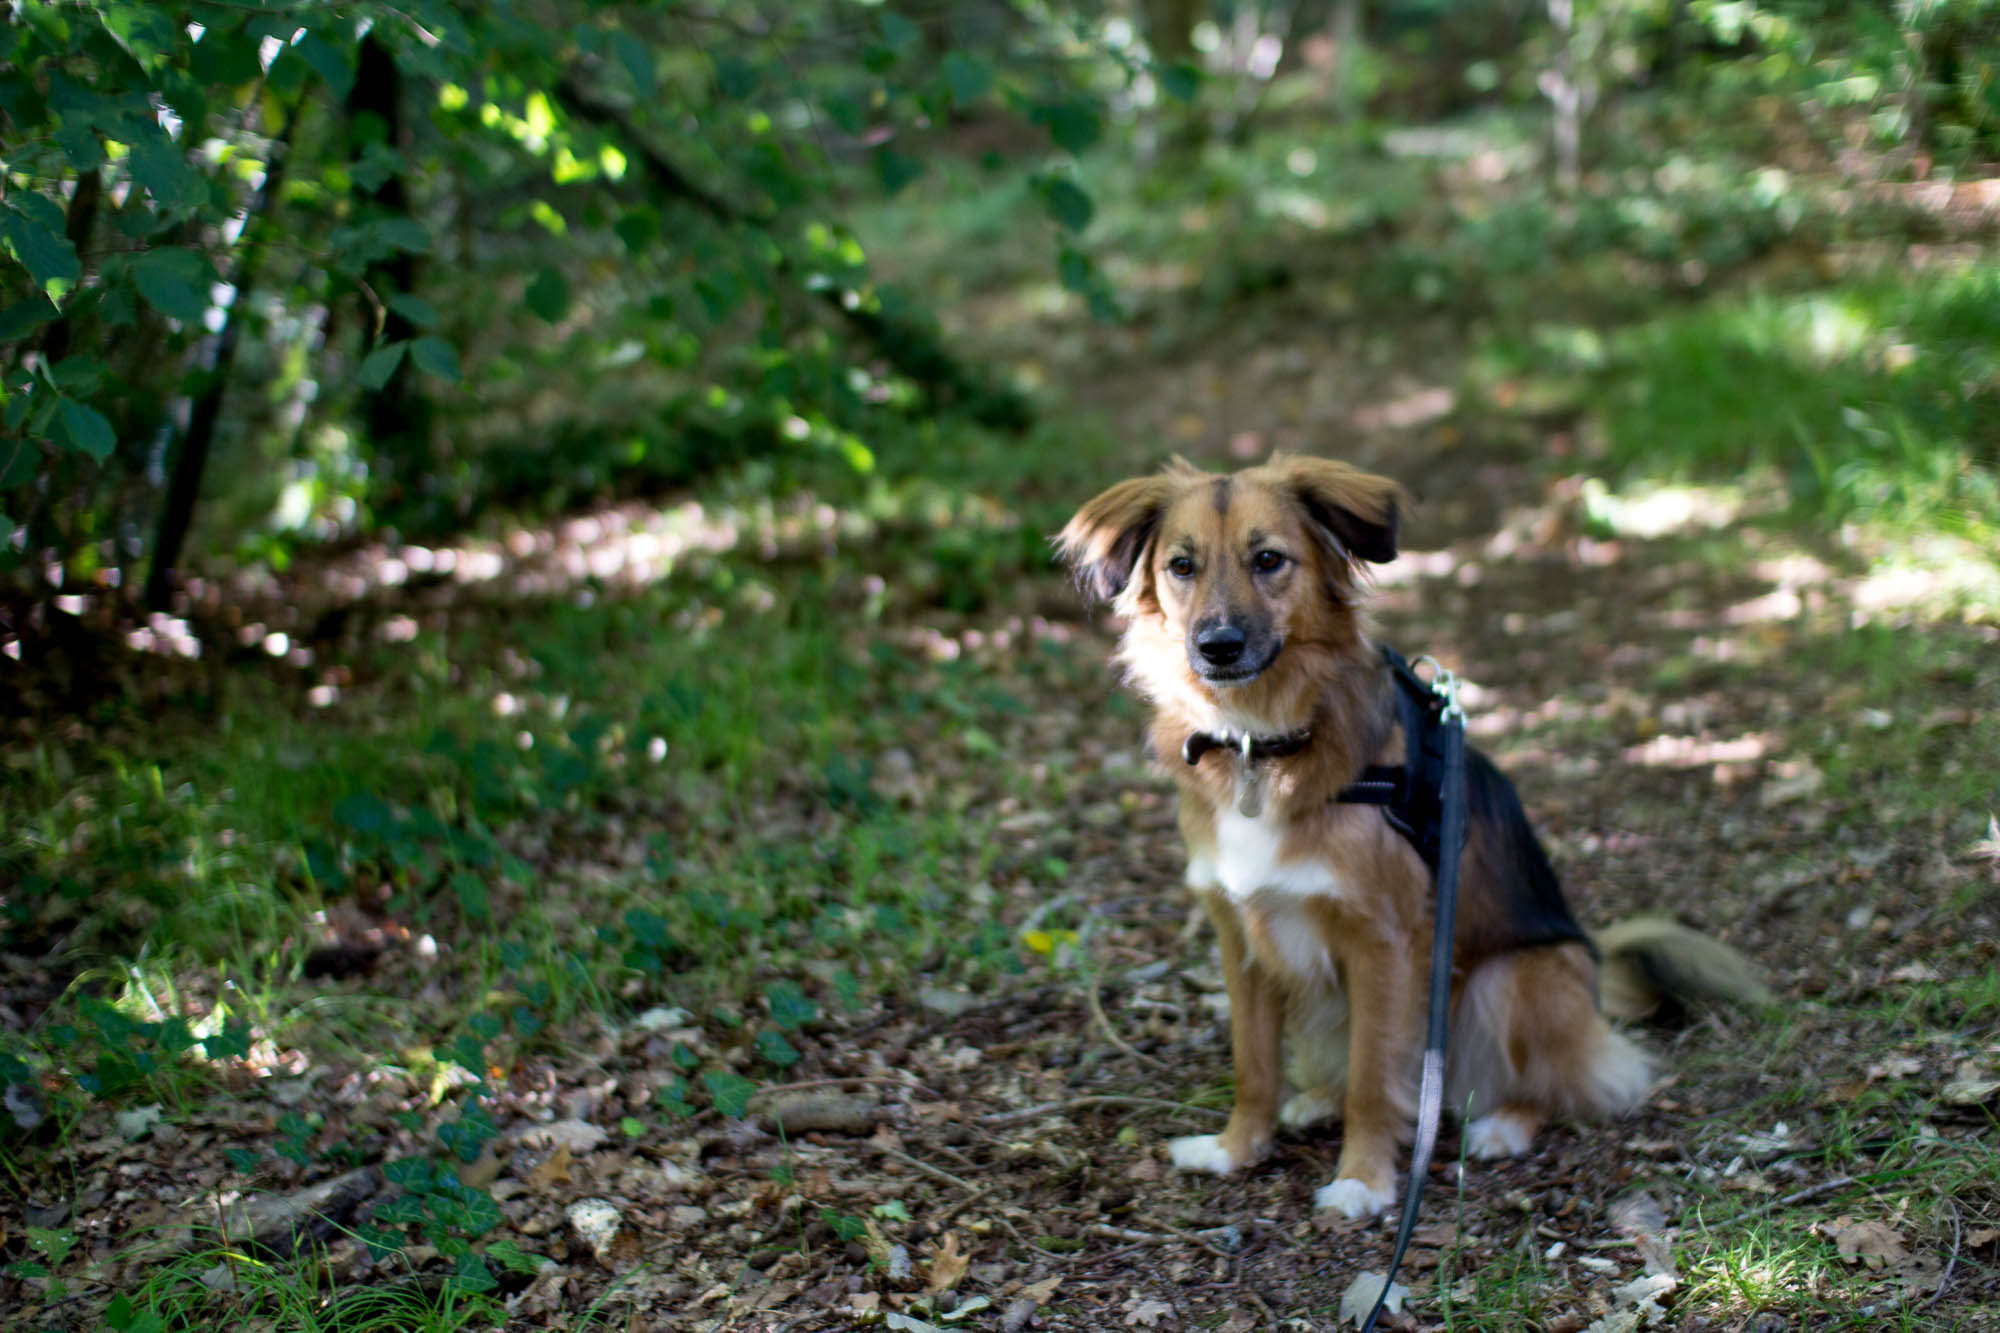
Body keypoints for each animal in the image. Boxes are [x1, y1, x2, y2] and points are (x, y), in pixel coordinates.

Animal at [1064, 454, 1768, 1216]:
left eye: (1269, 559)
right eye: (1182, 565)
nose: (1217, 646)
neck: (1261, 742)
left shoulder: (1383, 942)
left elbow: (1375, 1080)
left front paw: (1363, 1181)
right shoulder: (1240, 936)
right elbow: (1254, 1064)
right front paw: (1234, 1149)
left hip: (1514, 979)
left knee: (1558, 1083)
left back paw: (1502, 1125)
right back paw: (1316, 1100)